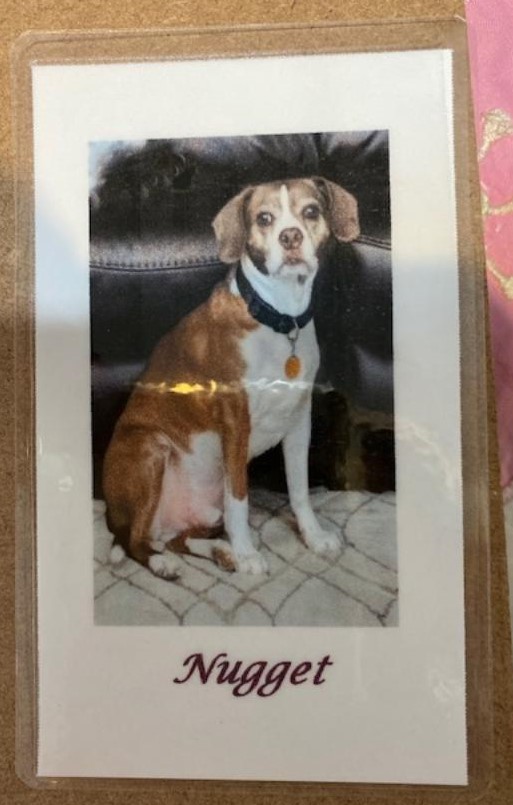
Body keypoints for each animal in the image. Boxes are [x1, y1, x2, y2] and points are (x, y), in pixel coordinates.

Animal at [102, 177, 359, 579]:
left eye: (311, 211)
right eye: (264, 218)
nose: (290, 236)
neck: (279, 318)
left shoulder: (299, 422)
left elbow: (299, 490)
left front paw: (314, 537)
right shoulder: (237, 424)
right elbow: (239, 500)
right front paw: (248, 553)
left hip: (201, 511)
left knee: (177, 538)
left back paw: (220, 552)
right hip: (151, 449)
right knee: (134, 540)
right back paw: (165, 562)